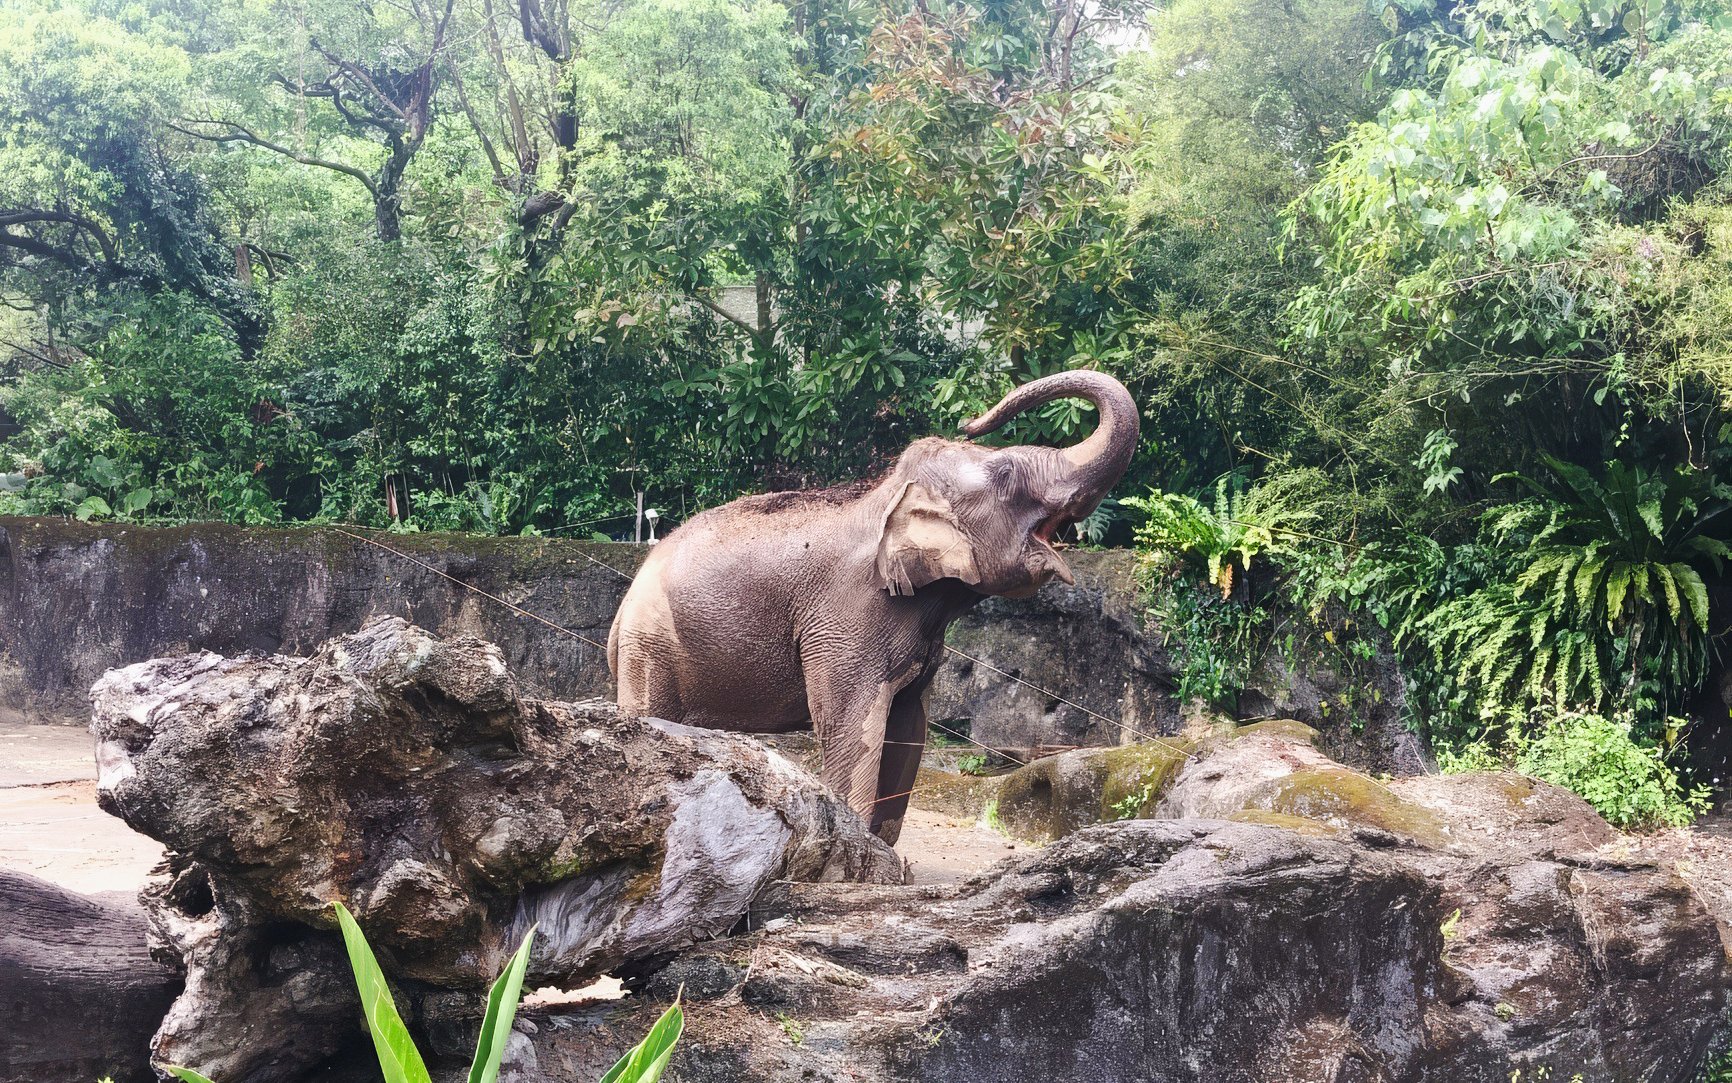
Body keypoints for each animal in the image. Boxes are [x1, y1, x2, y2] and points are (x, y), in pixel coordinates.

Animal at [608, 370, 1139, 844]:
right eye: (1006, 475)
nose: (970, 422)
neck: (886, 495)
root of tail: (620, 614)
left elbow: (909, 726)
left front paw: (886, 858)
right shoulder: (845, 617)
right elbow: (852, 724)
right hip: (649, 648)